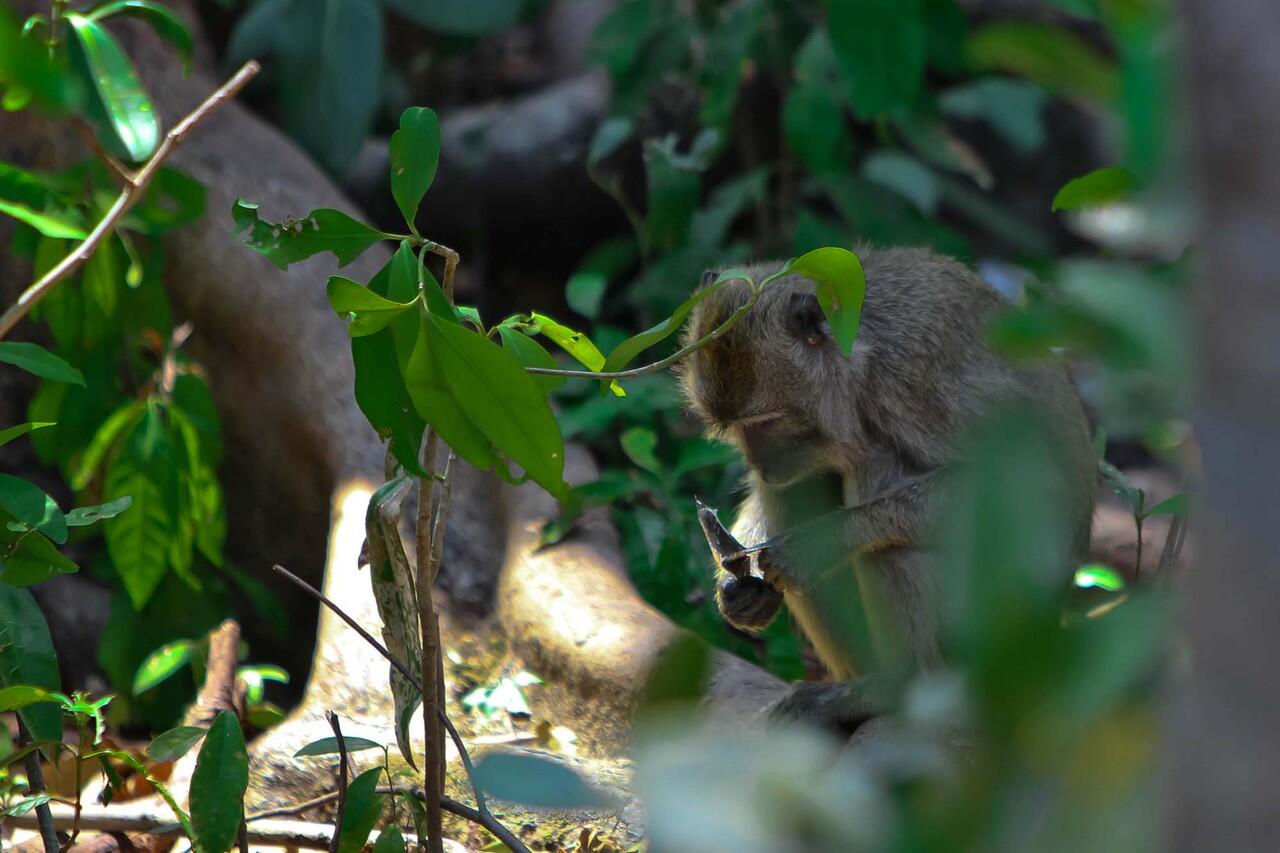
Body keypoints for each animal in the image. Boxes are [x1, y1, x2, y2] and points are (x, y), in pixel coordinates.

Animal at [686, 247, 1095, 732]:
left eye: (765, 421)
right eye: (736, 428)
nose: (760, 463)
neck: (861, 360)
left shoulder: (918, 380)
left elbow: (1026, 482)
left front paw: (823, 541)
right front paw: (741, 584)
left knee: (883, 503)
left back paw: (896, 690)